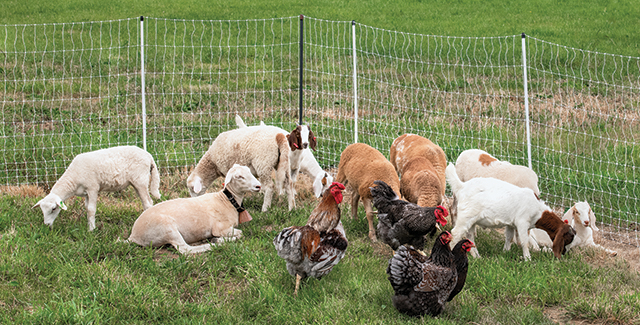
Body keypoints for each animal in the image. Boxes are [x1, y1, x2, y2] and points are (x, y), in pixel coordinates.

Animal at [32, 144, 162, 230]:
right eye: (42, 210)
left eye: (54, 209)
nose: (47, 225)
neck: (73, 178)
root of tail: (148, 156)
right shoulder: (86, 193)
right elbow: (87, 208)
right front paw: (90, 226)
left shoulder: (92, 188)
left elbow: (91, 209)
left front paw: (91, 230)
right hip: (136, 183)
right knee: (145, 202)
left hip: (141, 180)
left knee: (148, 203)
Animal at [126, 165, 262, 253]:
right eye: (239, 176)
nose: (258, 186)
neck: (226, 200)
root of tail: (133, 236)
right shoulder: (220, 228)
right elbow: (240, 233)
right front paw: (218, 239)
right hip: (166, 228)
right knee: (185, 250)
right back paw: (213, 244)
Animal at [444, 163, 576, 260]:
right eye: (567, 239)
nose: (564, 253)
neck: (538, 211)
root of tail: (462, 186)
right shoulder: (522, 222)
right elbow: (524, 241)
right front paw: (528, 259)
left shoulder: (511, 224)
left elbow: (509, 237)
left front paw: (505, 252)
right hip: (465, 216)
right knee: (455, 233)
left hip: (471, 220)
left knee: (470, 236)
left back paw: (477, 257)